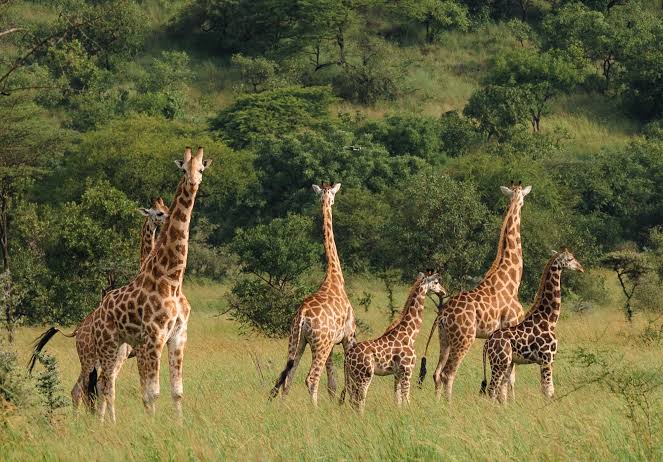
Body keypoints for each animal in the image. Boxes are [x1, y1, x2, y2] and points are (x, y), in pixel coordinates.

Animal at [29, 197, 170, 413]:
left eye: (167, 208)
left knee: (84, 389)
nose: (168, 219)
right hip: (98, 358)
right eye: (159, 213)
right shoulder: (139, 350)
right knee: (92, 388)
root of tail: (76, 332)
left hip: (93, 360)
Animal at [270, 183, 355, 405]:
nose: (331, 202)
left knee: (288, 377)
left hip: (297, 341)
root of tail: (301, 316)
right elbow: (344, 376)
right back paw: (314, 409)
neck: (334, 275)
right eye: (333, 196)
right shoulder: (348, 336)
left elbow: (332, 383)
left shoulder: (332, 343)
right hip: (319, 344)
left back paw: (282, 409)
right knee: (311, 378)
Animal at [339, 272, 446, 411]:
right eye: (436, 282)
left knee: (352, 400)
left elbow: (397, 399)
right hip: (364, 375)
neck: (410, 334)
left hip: (352, 376)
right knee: (360, 400)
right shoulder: (407, 369)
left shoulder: (397, 373)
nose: (444, 292)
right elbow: (406, 397)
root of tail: (347, 357)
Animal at [418, 183, 531, 401]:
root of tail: (442, 316)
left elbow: (502, 377)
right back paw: (449, 405)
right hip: (464, 338)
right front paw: (509, 404)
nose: (520, 204)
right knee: (448, 373)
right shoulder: (512, 326)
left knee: (436, 373)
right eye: (522, 199)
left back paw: (437, 403)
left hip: (444, 338)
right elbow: (510, 378)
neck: (511, 280)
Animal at [480, 248, 584, 403]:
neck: (550, 320)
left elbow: (545, 389)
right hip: (500, 362)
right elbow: (549, 390)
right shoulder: (547, 359)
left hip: (505, 363)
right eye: (570, 259)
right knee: (492, 389)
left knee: (500, 391)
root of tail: (488, 342)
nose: (581, 268)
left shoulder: (546, 361)